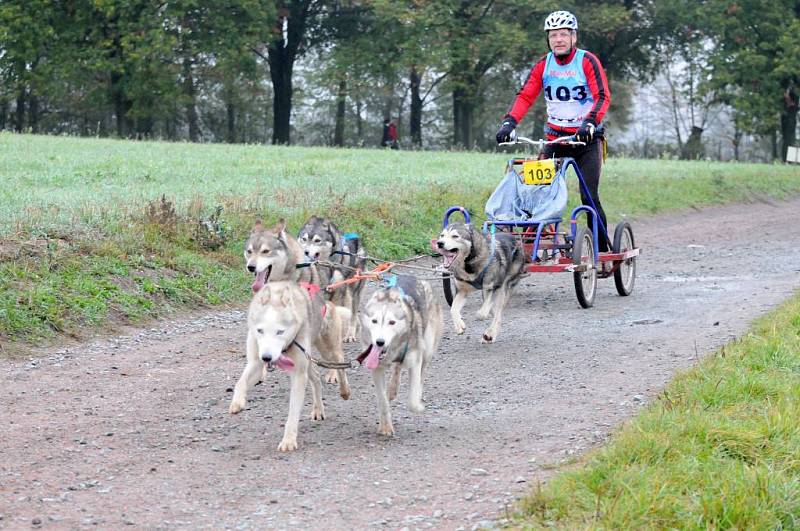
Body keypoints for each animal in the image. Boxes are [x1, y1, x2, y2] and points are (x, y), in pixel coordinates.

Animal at [227, 282, 348, 454]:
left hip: (327, 351)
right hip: (308, 360)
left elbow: (293, 410)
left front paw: (289, 440)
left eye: (280, 332)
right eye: (260, 330)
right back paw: (318, 409)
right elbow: (240, 382)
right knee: (316, 378)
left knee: (340, 363)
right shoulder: (256, 363)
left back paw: (345, 390)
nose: (267, 358)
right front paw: (238, 401)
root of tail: (327, 302)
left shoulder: (298, 374)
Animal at [358, 274, 444, 436]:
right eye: (374, 321)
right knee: (397, 368)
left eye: (392, 322)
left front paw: (417, 405)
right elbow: (382, 400)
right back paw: (392, 387)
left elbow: (412, 401)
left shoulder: (415, 360)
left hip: (427, 348)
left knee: (422, 371)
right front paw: (385, 426)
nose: (379, 342)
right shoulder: (377, 369)